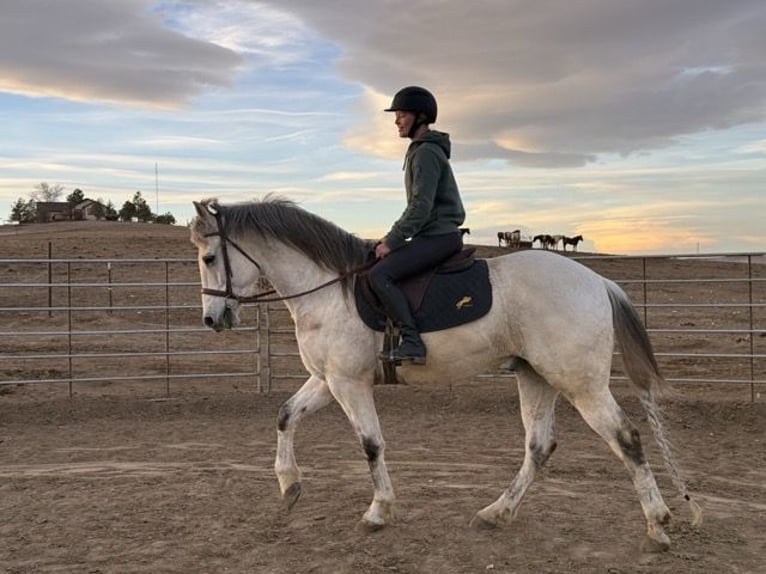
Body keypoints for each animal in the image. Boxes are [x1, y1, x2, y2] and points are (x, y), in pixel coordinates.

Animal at [190, 198, 704, 552]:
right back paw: (496, 514)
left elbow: (370, 445)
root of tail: (598, 282)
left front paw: (378, 512)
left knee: (626, 438)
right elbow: (284, 415)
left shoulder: (348, 383)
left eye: (209, 258)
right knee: (539, 447)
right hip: (536, 378)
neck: (329, 290)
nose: (214, 319)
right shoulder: (327, 379)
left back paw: (658, 525)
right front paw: (289, 485)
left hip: (580, 383)